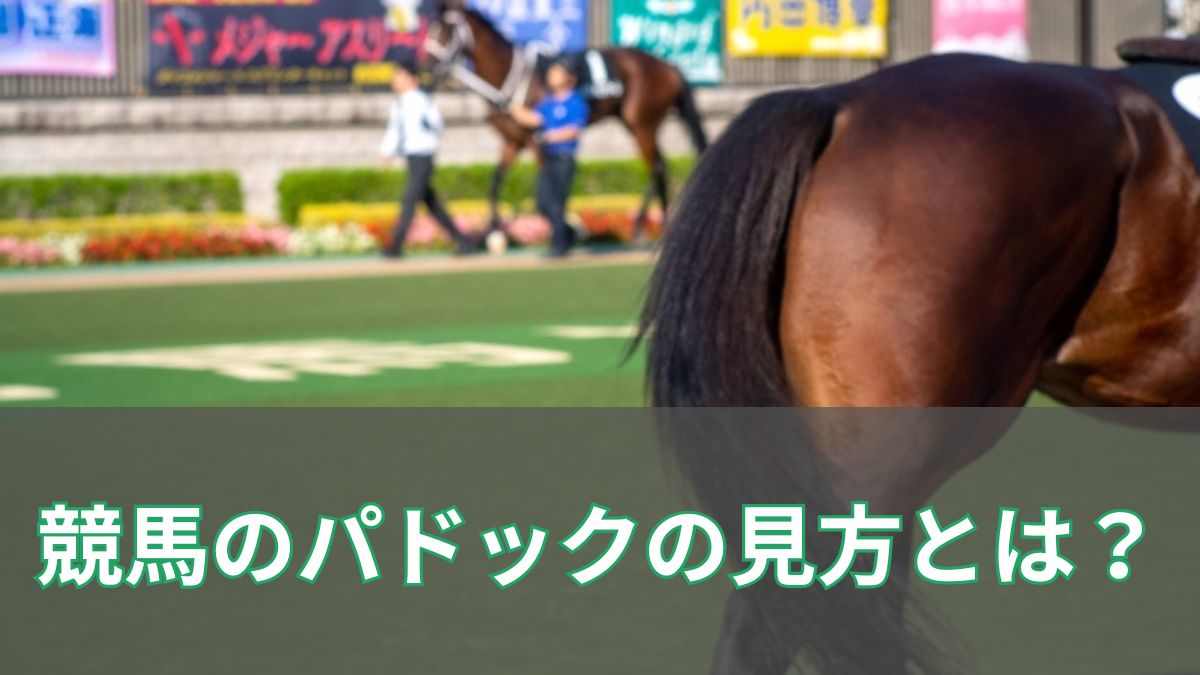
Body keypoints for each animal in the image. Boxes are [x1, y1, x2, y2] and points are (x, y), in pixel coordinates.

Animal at [418, 1, 708, 236]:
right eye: (429, 27)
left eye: (446, 29)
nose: (427, 66)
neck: (511, 77)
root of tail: (669, 66)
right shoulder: (512, 141)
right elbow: (495, 182)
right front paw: (494, 229)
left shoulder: (538, 142)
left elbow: (548, 191)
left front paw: (568, 227)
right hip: (635, 123)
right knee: (660, 166)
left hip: (641, 122)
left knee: (657, 167)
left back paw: (650, 225)